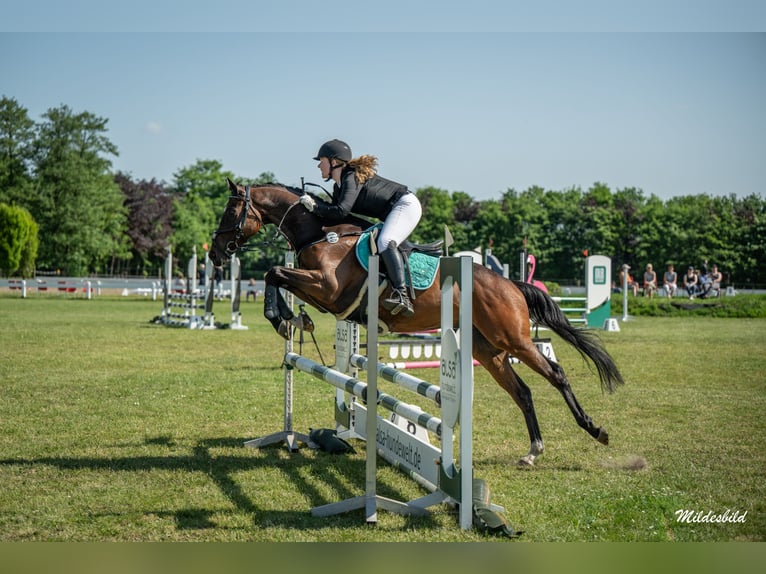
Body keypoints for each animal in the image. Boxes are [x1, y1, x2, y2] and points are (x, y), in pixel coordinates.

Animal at [210, 180, 624, 468]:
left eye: (230, 213)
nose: (214, 254)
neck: (321, 233)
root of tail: (511, 284)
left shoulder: (329, 289)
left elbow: (273, 271)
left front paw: (282, 318)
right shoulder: (328, 296)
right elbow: (277, 276)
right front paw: (294, 318)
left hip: (515, 339)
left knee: (556, 373)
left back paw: (596, 429)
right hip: (487, 348)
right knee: (521, 391)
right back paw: (532, 451)